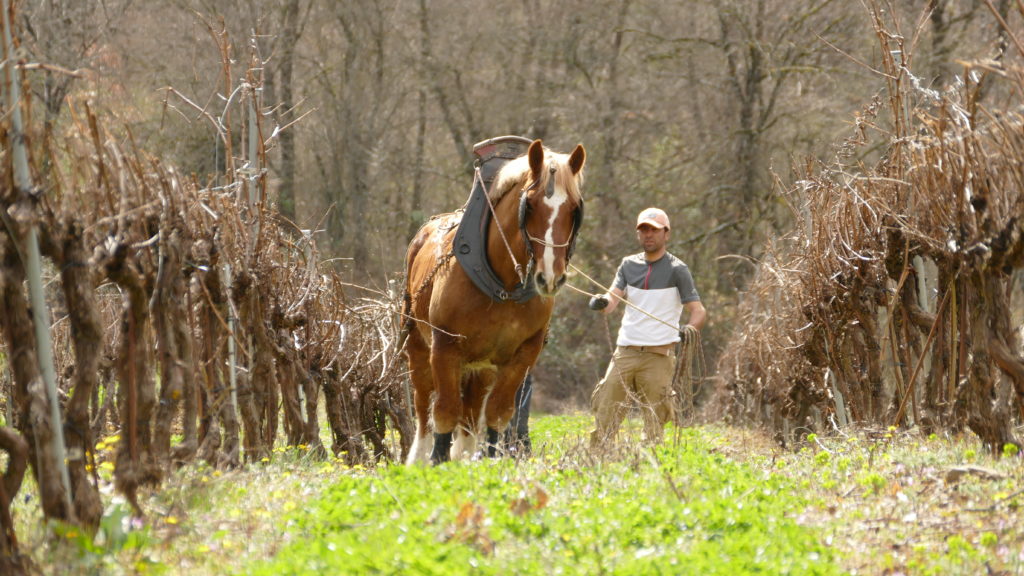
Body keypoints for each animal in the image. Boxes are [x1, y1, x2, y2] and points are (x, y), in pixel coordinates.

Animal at [403, 138, 589, 461]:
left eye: (574, 208)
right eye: (530, 205)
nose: (549, 277)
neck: (503, 285)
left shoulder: (523, 355)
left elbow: (498, 413)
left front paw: (489, 461)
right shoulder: (445, 348)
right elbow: (444, 412)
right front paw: (438, 461)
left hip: (482, 367)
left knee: (470, 414)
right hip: (418, 346)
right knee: (424, 405)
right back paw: (420, 456)